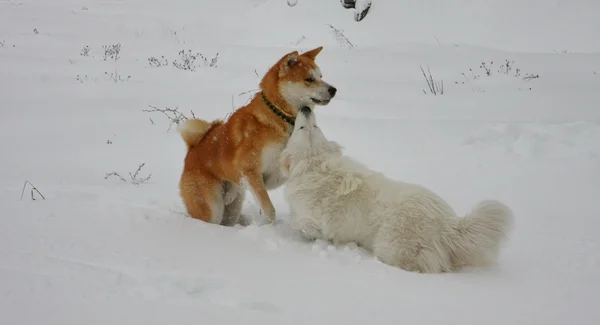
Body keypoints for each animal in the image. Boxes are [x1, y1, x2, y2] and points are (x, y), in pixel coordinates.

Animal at [278, 107, 512, 272]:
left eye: (311, 127)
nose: (306, 108)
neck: (315, 164)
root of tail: (447, 225)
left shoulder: (314, 220)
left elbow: (300, 224)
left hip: (391, 246)